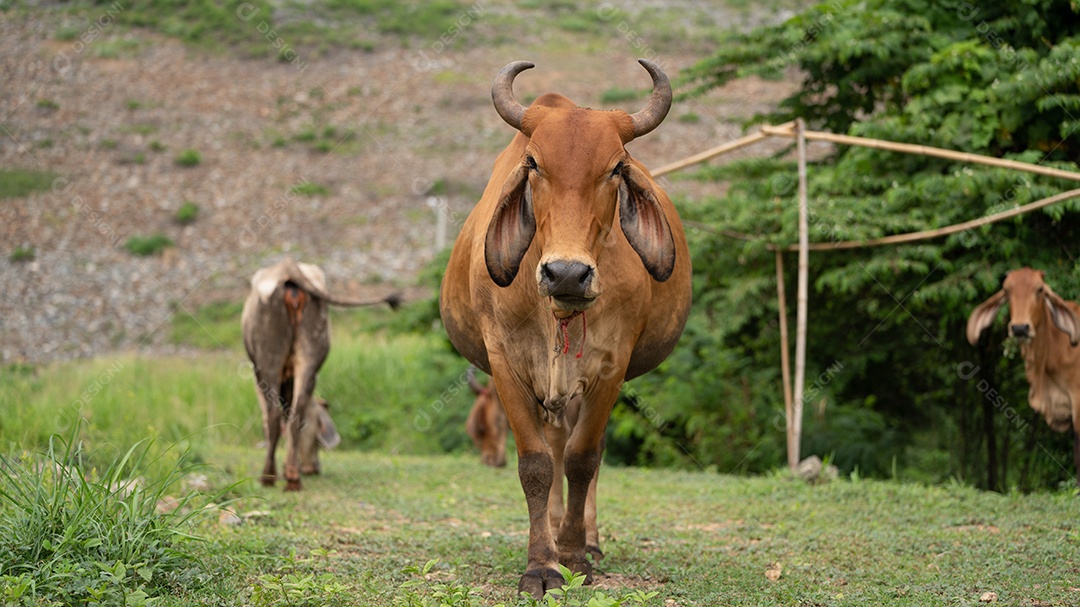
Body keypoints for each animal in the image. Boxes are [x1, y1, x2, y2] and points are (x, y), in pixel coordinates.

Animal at [242, 257, 398, 491]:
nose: (314, 468)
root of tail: (290, 268)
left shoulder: (257, 375)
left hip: (267, 362)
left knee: (274, 416)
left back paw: (268, 476)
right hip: (311, 358)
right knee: (296, 414)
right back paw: (293, 477)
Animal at [439, 59, 692, 598]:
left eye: (616, 167)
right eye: (533, 163)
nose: (568, 273)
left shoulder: (611, 367)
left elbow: (582, 459)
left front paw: (575, 555)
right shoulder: (504, 363)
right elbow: (536, 465)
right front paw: (542, 564)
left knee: (580, 451)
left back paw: (586, 540)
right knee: (553, 448)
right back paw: (553, 531)